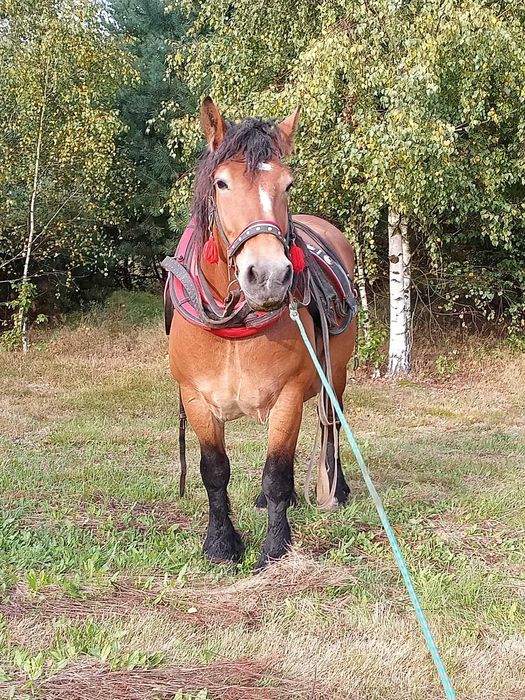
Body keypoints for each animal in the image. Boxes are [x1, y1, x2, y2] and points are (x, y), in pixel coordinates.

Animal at [166, 97, 358, 568]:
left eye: (287, 184)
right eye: (222, 183)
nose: (269, 275)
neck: (232, 327)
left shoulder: (288, 396)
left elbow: (277, 473)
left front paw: (275, 546)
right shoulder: (196, 399)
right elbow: (214, 472)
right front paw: (220, 543)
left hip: (336, 374)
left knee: (332, 424)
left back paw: (336, 488)